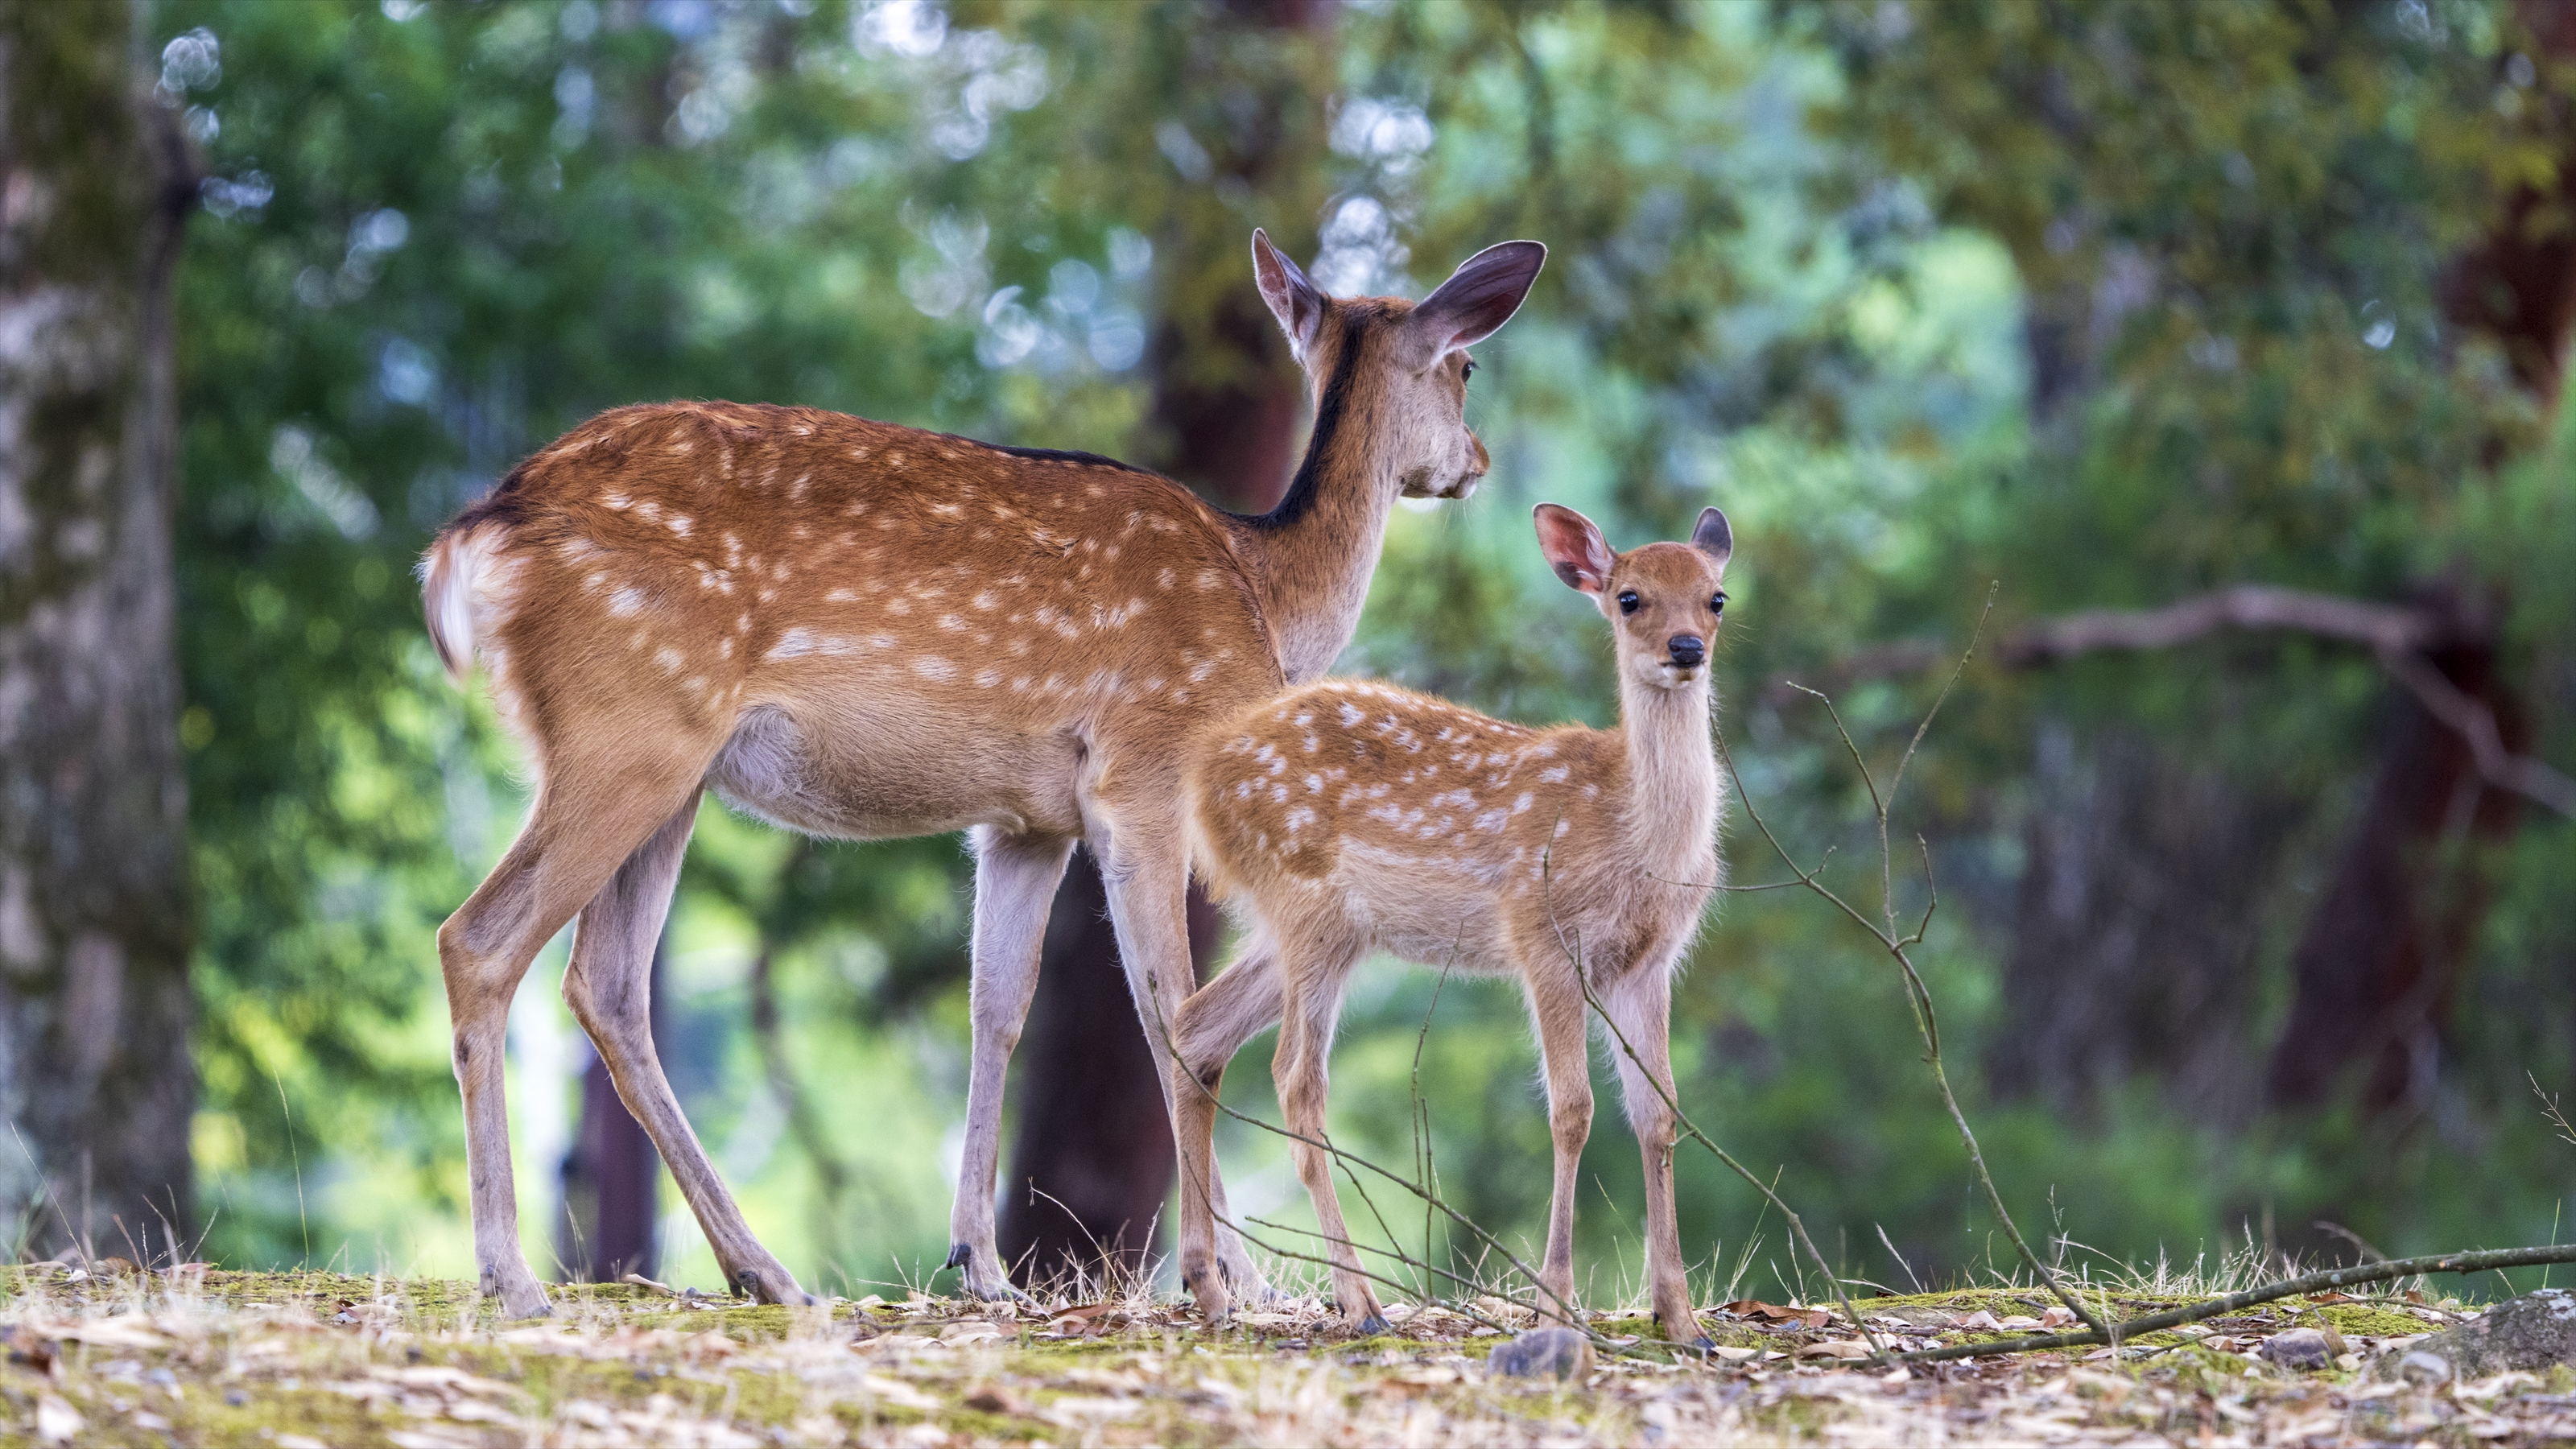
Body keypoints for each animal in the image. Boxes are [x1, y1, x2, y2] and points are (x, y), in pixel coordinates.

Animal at [425, 228, 1546, 1310]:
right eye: (1467, 366)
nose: (1481, 460)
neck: (1263, 601)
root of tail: (475, 533)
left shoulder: (1026, 822)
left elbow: (997, 1012)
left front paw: (982, 1262)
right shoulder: (1143, 771)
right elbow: (1169, 1019)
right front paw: (1233, 1279)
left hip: (674, 769)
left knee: (606, 984)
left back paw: (764, 1272)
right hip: (630, 725)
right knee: (478, 939)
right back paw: (511, 1275)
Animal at [1179, 500, 1741, 1340]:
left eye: (1716, 599)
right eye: (1630, 597)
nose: (1685, 650)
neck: (1634, 834)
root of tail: (1200, 776)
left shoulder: (1648, 961)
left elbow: (1659, 1114)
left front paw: (1680, 1320)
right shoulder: (1542, 935)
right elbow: (1572, 1111)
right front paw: (1553, 1303)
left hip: (1321, 931)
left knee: (1196, 1028)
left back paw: (1210, 1290)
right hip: (1305, 900)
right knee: (1294, 1080)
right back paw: (1361, 1303)